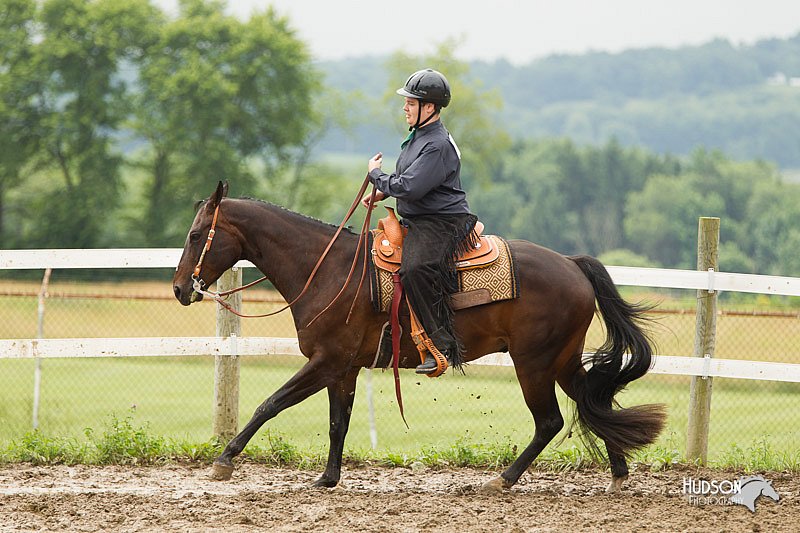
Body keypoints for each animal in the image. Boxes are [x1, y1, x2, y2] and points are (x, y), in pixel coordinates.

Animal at [172, 181, 664, 492]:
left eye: (196, 235)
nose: (179, 289)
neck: (328, 270)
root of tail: (572, 264)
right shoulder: (343, 369)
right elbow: (337, 422)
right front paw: (328, 478)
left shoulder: (325, 362)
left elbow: (269, 404)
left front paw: (225, 460)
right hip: (561, 360)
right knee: (593, 404)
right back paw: (618, 474)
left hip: (535, 363)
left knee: (550, 422)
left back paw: (502, 479)